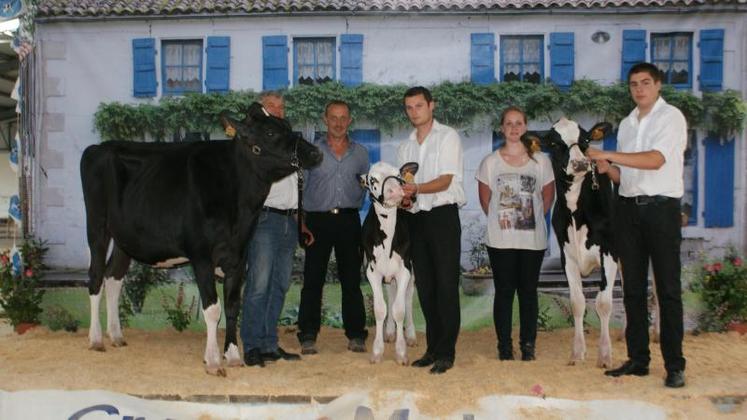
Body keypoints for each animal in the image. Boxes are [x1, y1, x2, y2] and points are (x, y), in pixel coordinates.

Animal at [81, 102, 322, 378]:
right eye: (270, 133)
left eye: (288, 125)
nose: (315, 152)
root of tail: (99, 147)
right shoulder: (201, 256)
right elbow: (212, 308)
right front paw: (214, 361)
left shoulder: (239, 256)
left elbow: (232, 305)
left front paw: (234, 356)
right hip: (97, 226)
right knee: (96, 276)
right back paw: (96, 339)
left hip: (125, 239)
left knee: (113, 278)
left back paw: (117, 336)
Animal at [360, 161, 418, 364]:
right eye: (373, 179)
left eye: (398, 175)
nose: (395, 191)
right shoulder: (372, 272)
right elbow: (380, 309)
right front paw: (377, 351)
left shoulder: (404, 271)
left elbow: (399, 309)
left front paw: (401, 352)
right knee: (391, 294)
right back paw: (391, 332)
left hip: (412, 273)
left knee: (407, 299)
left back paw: (410, 335)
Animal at [524, 118, 620, 368]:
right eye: (554, 144)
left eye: (585, 139)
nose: (580, 163)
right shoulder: (567, 257)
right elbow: (577, 303)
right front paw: (577, 352)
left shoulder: (609, 253)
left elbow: (604, 303)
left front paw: (605, 355)